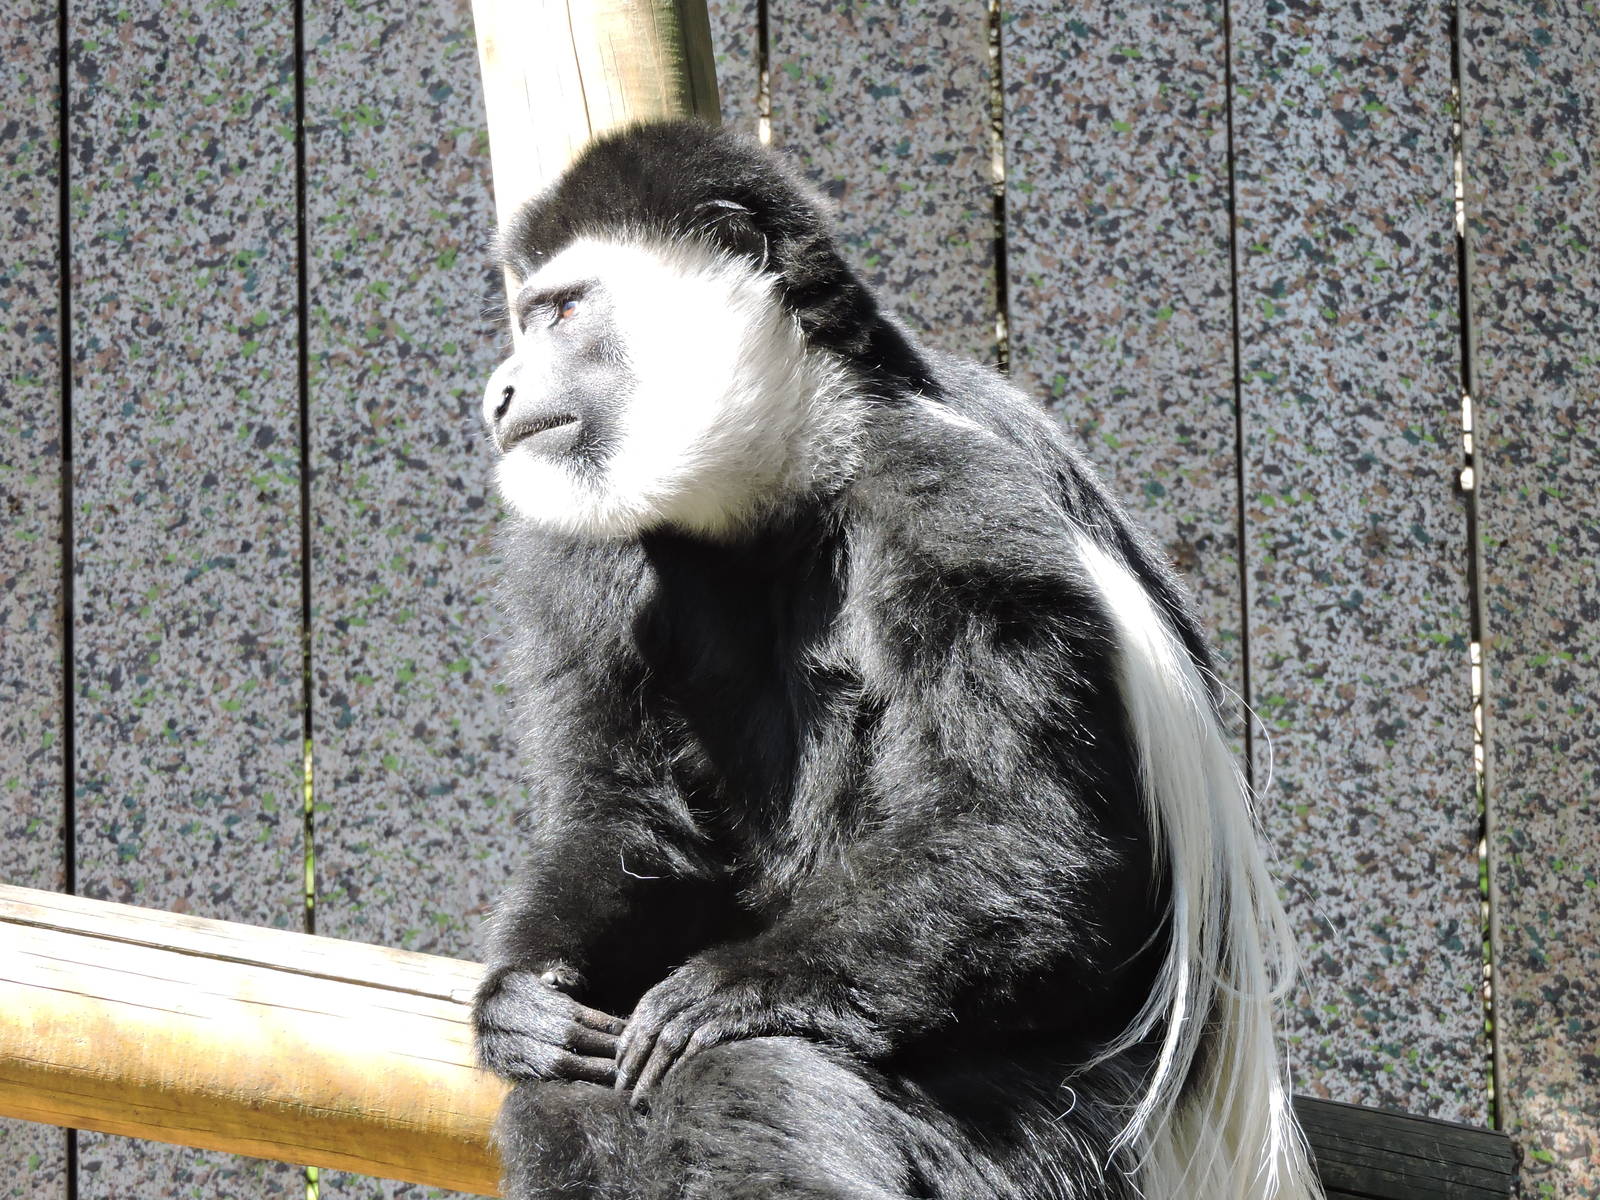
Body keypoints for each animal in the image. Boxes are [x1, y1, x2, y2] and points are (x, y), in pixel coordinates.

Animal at [472, 118, 1318, 1200]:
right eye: (530, 319)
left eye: (566, 312)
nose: (503, 389)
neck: (790, 474)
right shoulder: (589, 557)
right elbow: (625, 815)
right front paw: (520, 1002)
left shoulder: (949, 498)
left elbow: (1033, 836)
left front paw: (735, 991)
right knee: (570, 1102)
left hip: (1055, 1126)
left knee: (769, 1078)